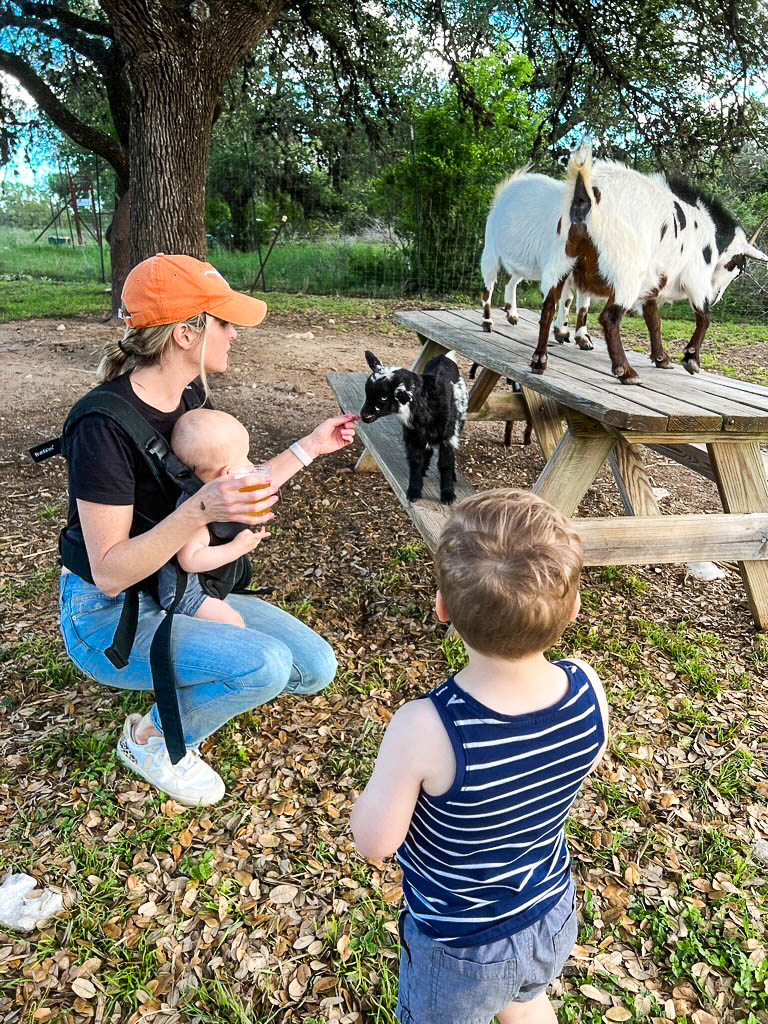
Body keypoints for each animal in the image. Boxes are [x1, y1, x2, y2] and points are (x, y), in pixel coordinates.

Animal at [360, 350, 468, 505]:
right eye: (367, 393)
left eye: (383, 397)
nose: (364, 416)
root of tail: (444, 357)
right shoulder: (412, 436)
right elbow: (415, 461)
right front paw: (414, 491)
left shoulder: (448, 437)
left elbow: (445, 464)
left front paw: (448, 495)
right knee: (427, 451)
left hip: (459, 423)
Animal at [536, 144, 768, 385]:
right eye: (736, 266)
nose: (716, 297)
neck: (710, 231)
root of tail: (587, 195)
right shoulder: (696, 279)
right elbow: (704, 317)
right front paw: (691, 359)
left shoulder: (653, 281)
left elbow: (653, 319)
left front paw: (662, 358)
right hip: (627, 274)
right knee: (609, 317)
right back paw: (625, 371)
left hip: (561, 260)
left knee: (548, 308)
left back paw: (539, 361)